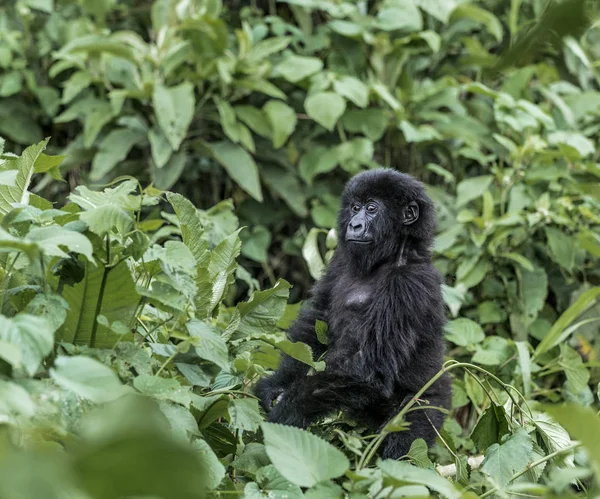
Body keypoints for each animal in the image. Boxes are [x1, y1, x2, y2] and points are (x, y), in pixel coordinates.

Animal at [253, 169, 450, 460]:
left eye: (372, 209)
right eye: (355, 207)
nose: (354, 225)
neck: (390, 255)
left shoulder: (407, 284)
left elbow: (370, 366)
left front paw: (288, 410)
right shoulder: (340, 259)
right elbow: (315, 325)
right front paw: (277, 384)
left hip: (427, 403)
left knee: (406, 450)